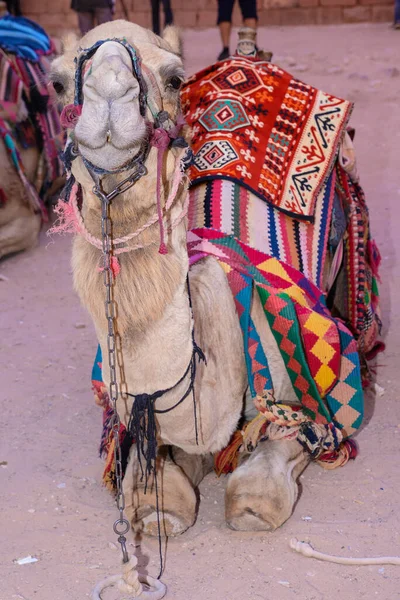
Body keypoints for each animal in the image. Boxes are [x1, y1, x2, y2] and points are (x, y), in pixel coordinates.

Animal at [50, 22, 382, 540]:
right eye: (58, 83)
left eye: (174, 78)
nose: (110, 94)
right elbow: (153, 498)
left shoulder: (299, 388)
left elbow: (258, 491)